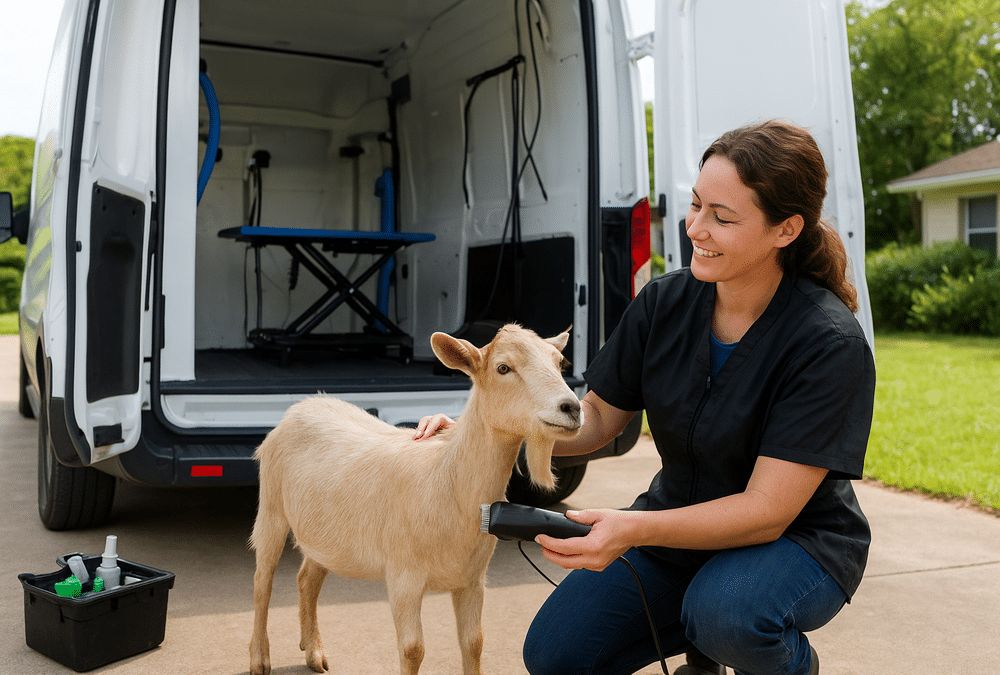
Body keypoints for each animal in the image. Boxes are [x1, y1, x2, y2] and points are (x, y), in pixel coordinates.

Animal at [249, 324, 583, 675]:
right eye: (503, 368)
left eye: (560, 363)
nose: (572, 408)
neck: (448, 481)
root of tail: (304, 404)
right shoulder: (403, 576)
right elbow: (413, 649)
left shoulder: (472, 579)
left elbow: (474, 643)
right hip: (271, 507)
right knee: (262, 582)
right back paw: (260, 659)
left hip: (325, 534)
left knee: (307, 579)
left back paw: (313, 651)